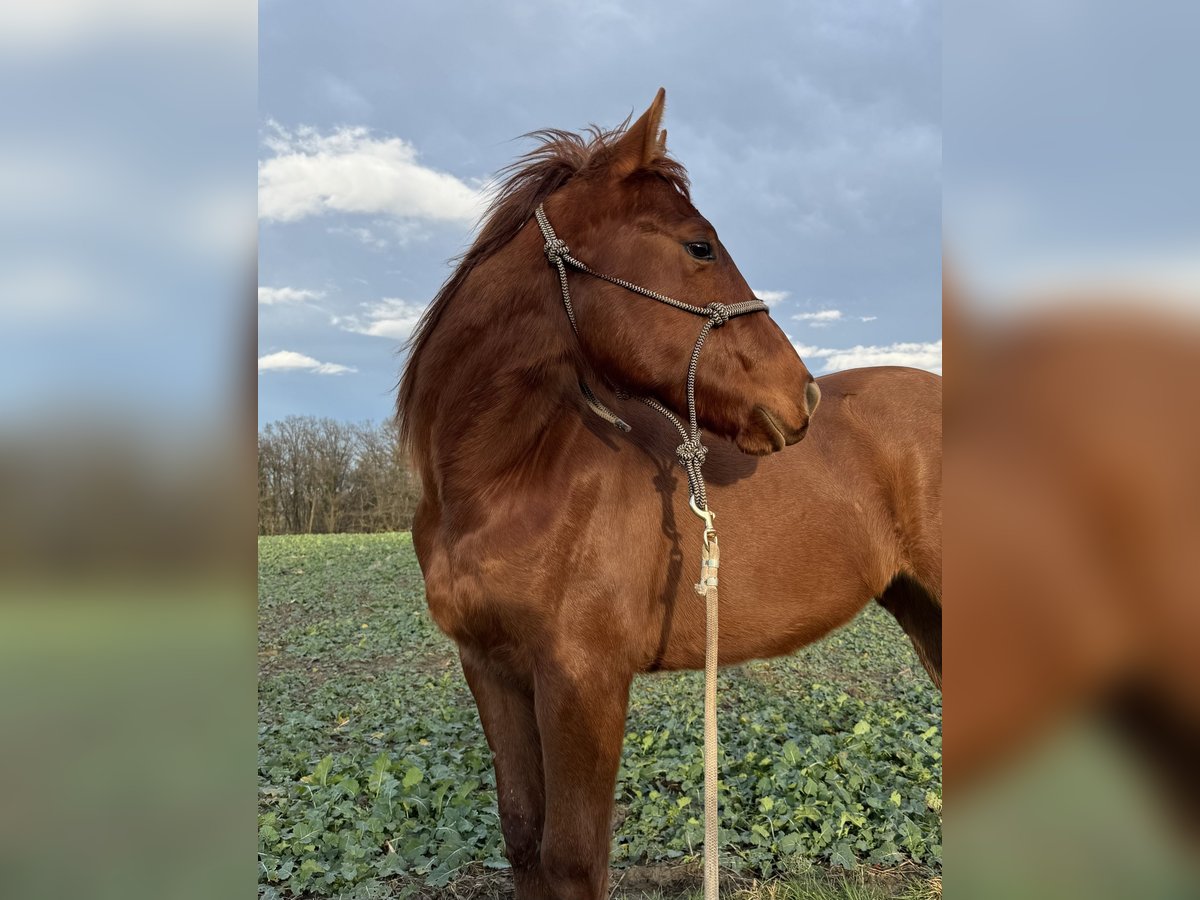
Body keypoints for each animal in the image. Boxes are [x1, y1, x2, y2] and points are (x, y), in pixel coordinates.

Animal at [398, 89, 942, 900]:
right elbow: (524, 839)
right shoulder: (491, 670)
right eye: (699, 247)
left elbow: (573, 856)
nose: (803, 395)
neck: (506, 484)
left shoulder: (584, 681)